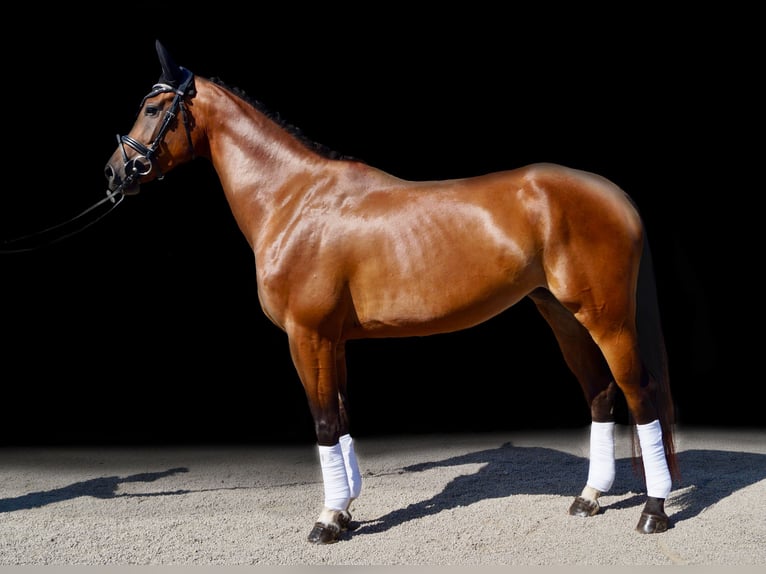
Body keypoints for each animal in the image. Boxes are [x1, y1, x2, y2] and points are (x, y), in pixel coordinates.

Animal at [103, 40, 684, 544]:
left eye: (152, 108)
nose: (113, 174)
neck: (294, 198)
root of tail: (615, 194)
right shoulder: (332, 341)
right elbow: (340, 419)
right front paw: (344, 512)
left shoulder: (306, 336)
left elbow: (323, 422)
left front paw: (326, 521)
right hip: (562, 315)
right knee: (601, 394)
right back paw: (589, 498)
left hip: (608, 319)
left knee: (640, 394)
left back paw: (653, 511)